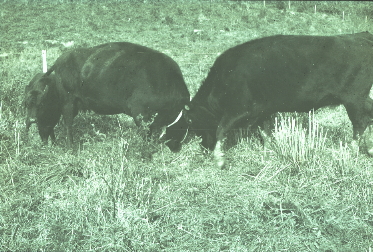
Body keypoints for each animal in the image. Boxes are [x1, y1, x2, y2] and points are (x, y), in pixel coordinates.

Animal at [23, 42, 190, 151]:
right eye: (30, 105)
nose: (31, 120)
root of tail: (59, 61)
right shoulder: (140, 113)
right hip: (69, 103)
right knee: (68, 124)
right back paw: (70, 148)